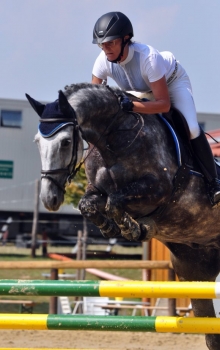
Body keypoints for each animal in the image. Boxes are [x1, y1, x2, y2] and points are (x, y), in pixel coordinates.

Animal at [26, 83, 220, 348]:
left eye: (65, 142)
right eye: (37, 142)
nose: (50, 198)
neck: (114, 139)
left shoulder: (158, 189)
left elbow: (116, 202)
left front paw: (133, 228)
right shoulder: (97, 191)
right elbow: (90, 205)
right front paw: (111, 228)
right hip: (195, 271)